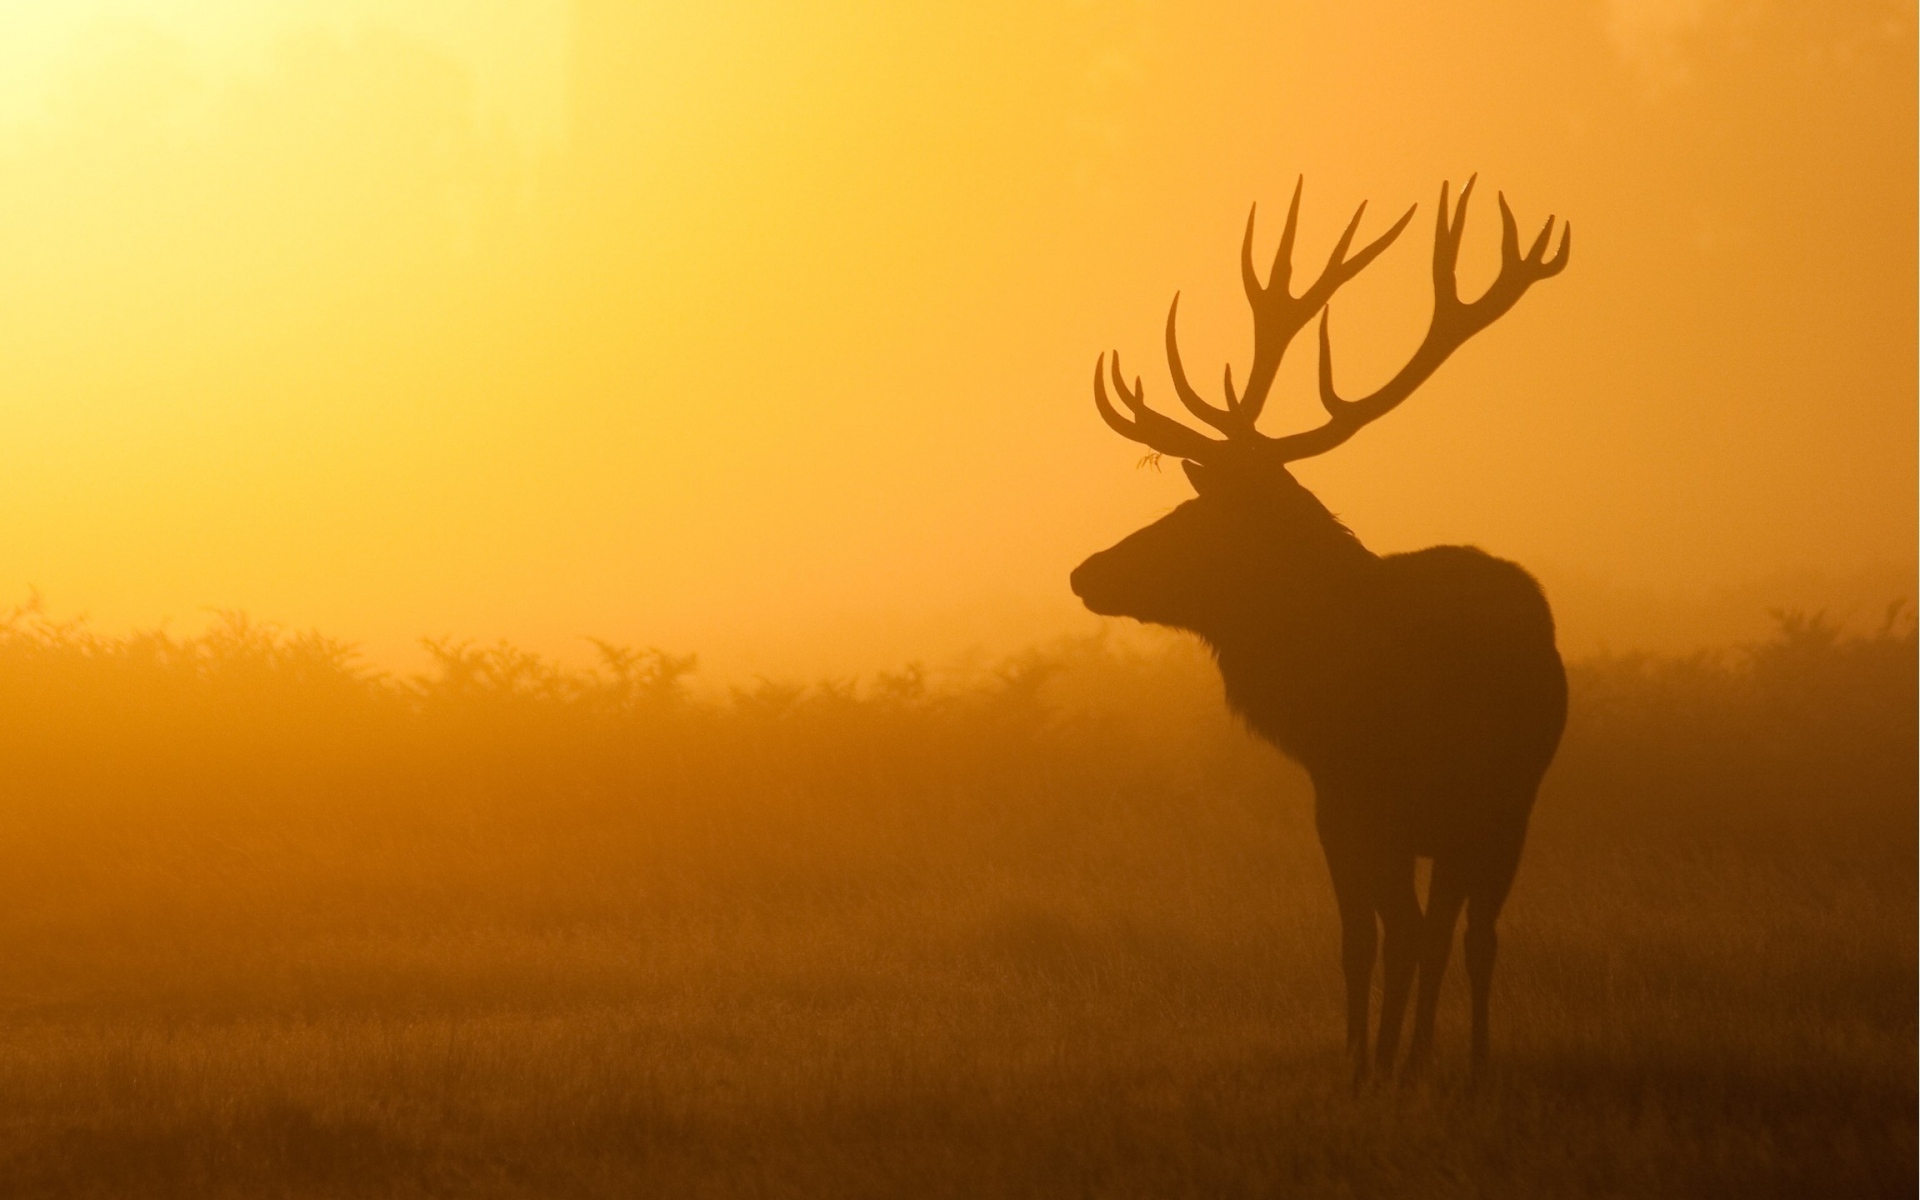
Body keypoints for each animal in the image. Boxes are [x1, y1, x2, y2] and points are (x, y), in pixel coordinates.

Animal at [1075, 180, 1566, 1082]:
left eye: (1196, 518)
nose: (1086, 571)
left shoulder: (1381, 804)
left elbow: (1388, 938)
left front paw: (1379, 1070)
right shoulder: (1357, 808)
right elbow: (1370, 940)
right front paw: (1372, 1063)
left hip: (1486, 806)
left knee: (1455, 933)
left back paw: (1442, 1064)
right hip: (1477, 815)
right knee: (1453, 932)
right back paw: (1444, 1059)